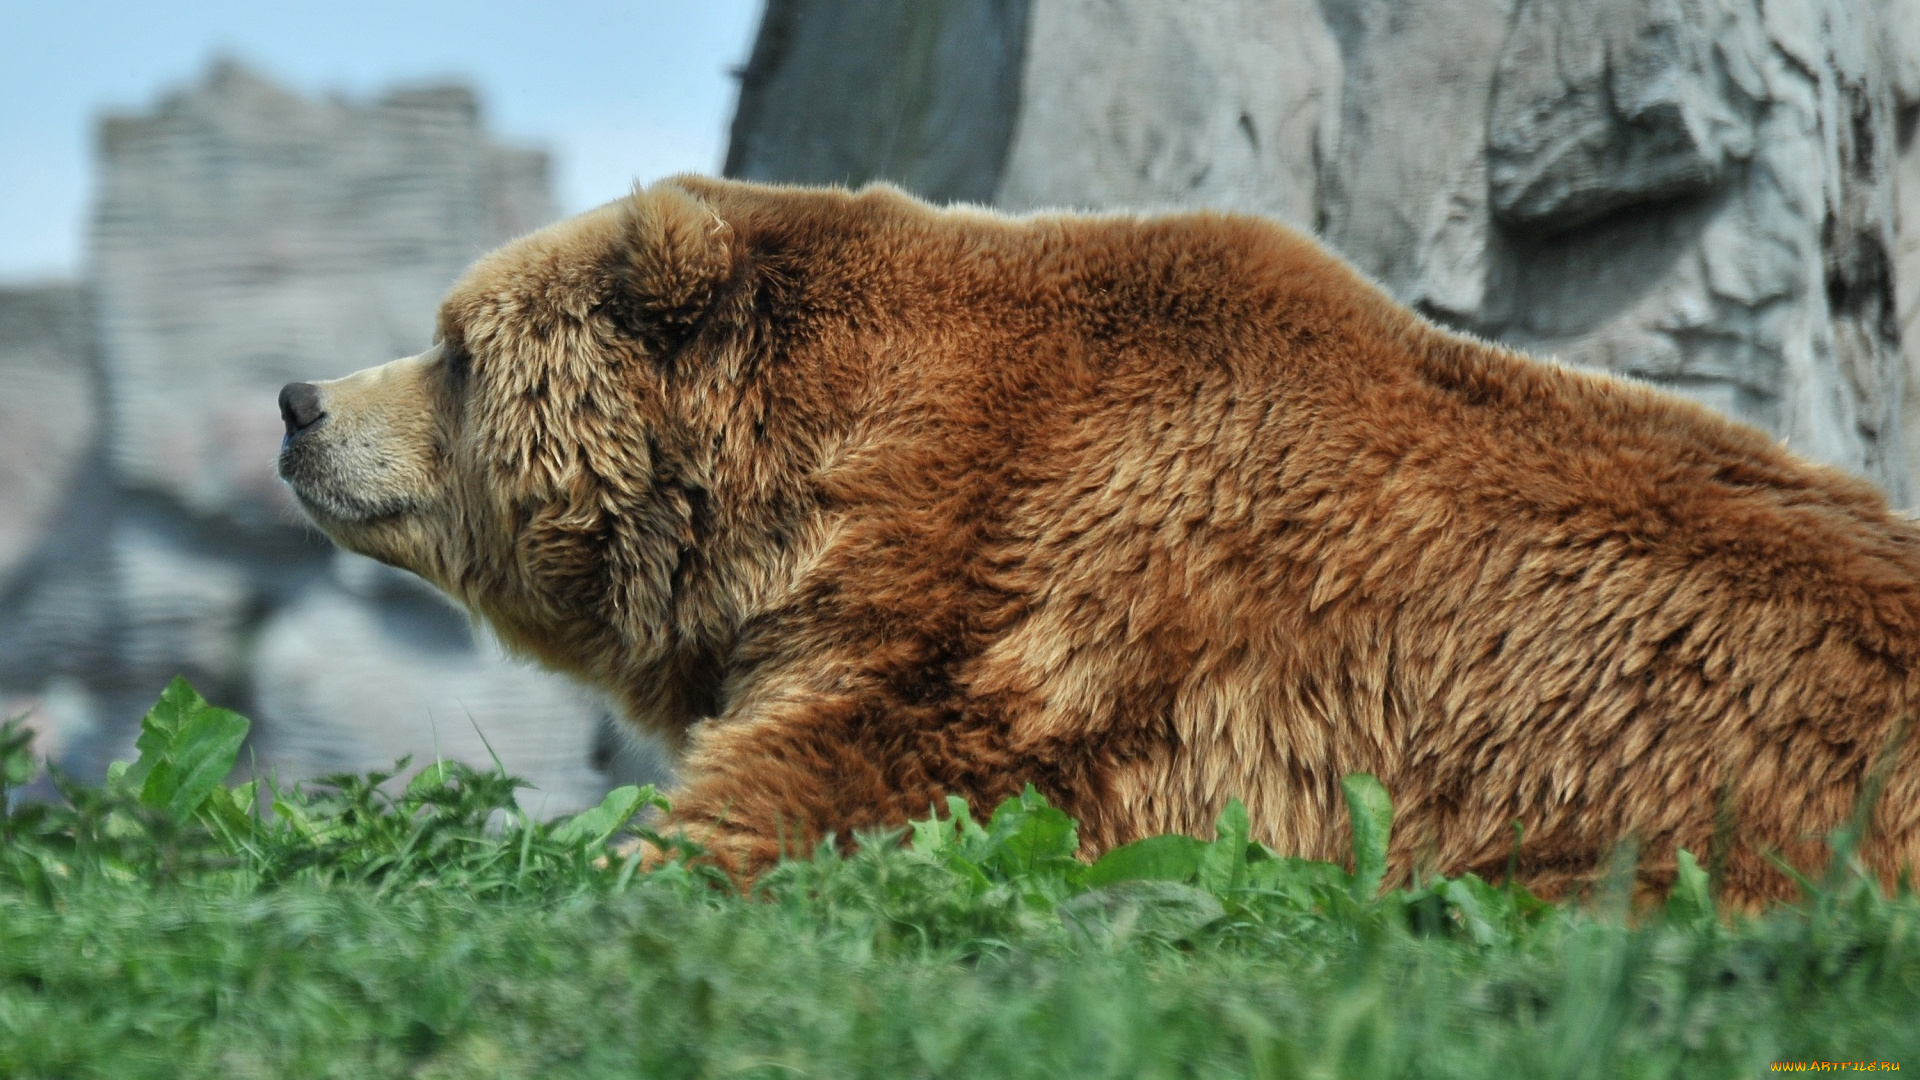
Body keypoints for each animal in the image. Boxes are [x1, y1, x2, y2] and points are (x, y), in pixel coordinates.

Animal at [274, 174, 1920, 899]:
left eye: (453, 351)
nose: (300, 401)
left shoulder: (1045, 604)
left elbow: (858, 775)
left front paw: (625, 853)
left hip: (1693, 787)